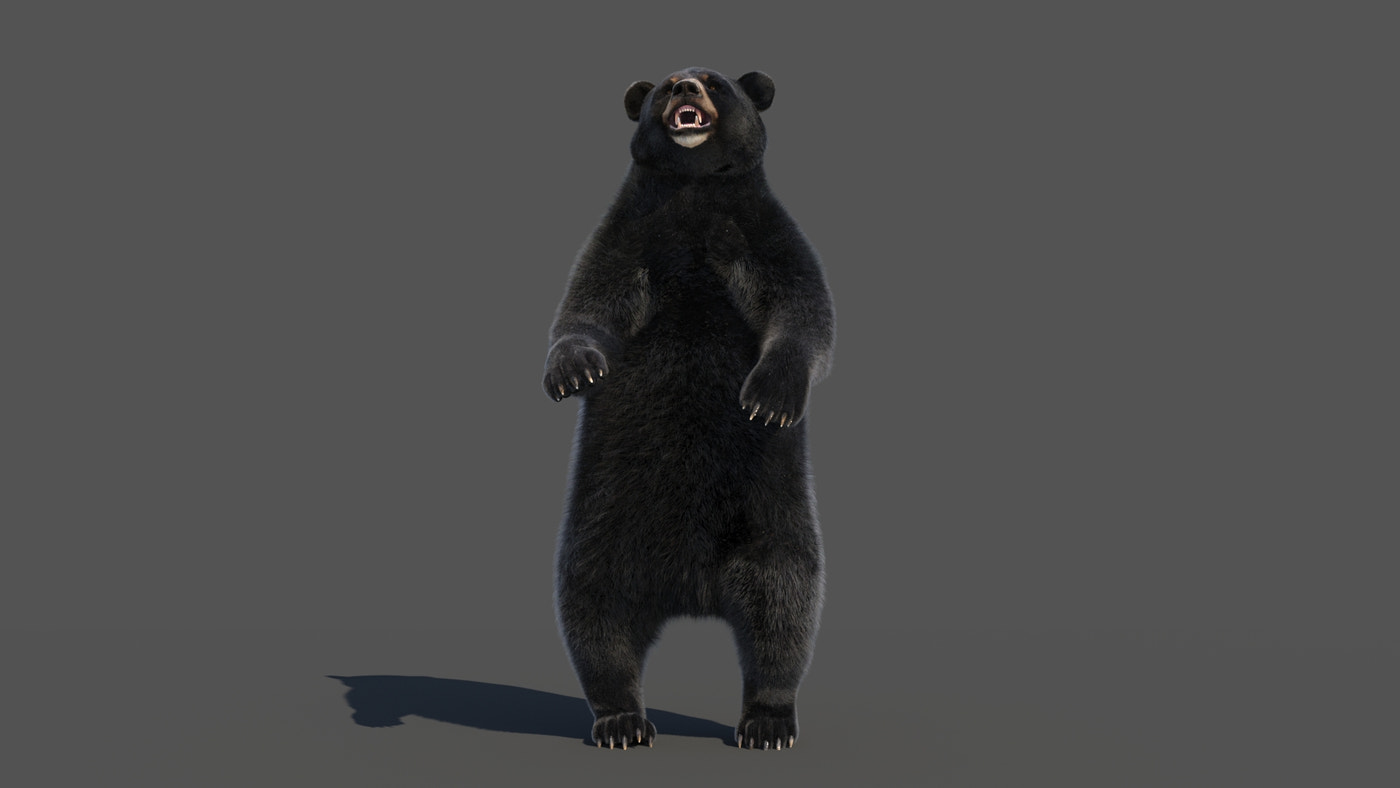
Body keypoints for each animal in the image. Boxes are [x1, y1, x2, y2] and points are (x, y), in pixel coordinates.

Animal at [543, 67, 835, 751]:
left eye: (716, 82)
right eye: (661, 88)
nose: (683, 88)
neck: (693, 190)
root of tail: (692, 590)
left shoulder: (761, 232)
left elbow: (803, 308)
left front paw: (768, 401)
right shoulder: (630, 236)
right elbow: (586, 306)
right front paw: (574, 371)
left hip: (768, 521)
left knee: (784, 602)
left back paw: (768, 719)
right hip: (603, 531)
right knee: (593, 609)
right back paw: (621, 718)